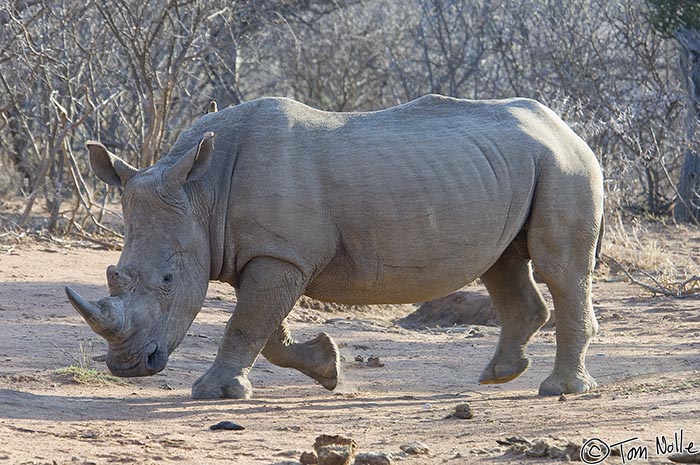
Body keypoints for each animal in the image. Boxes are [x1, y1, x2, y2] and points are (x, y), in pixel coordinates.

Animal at [63, 94, 604, 398]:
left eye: (168, 280)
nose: (128, 368)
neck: (202, 193)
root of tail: (564, 126)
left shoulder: (279, 254)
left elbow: (246, 325)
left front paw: (213, 393)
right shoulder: (270, 253)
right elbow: (266, 330)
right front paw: (328, 368)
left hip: (566, 166)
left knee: (560, 270)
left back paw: (560, 390)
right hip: (510, 168)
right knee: (502, 263)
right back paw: (499, 375)